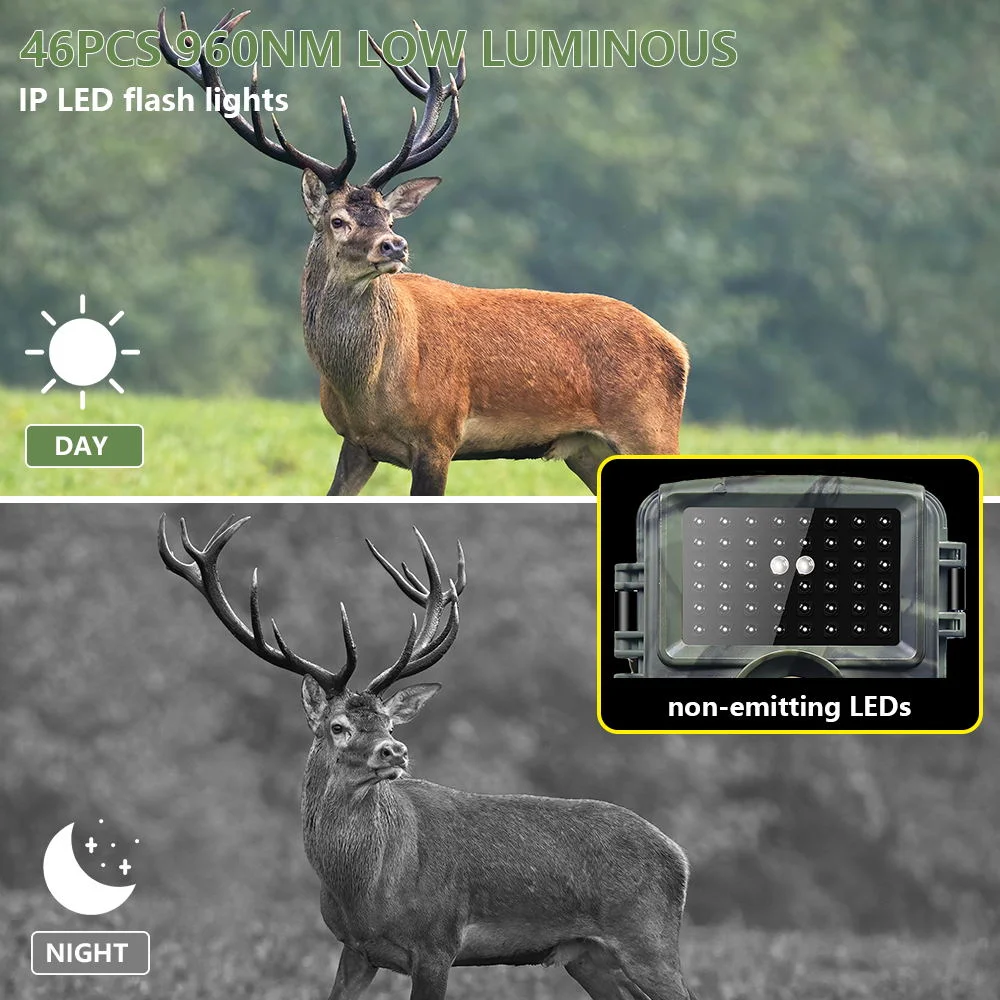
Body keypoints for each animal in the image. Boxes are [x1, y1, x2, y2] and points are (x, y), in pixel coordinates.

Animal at [157, 9, 690, 495]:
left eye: (389, 218)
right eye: (338, 220)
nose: (395, 244)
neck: (366, 387)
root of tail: (678, 347)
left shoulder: (439, 436)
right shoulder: (356, 443)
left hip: (649, 431)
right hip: (587, 450)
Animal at [158, 513, 699, 1000]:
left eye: (390, 723)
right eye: (338, 726)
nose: (395, 750)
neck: (366, 889)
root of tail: (679, 855)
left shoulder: (438, 942)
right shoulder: (356, 949)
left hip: (648, 939)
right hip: (587, 955)